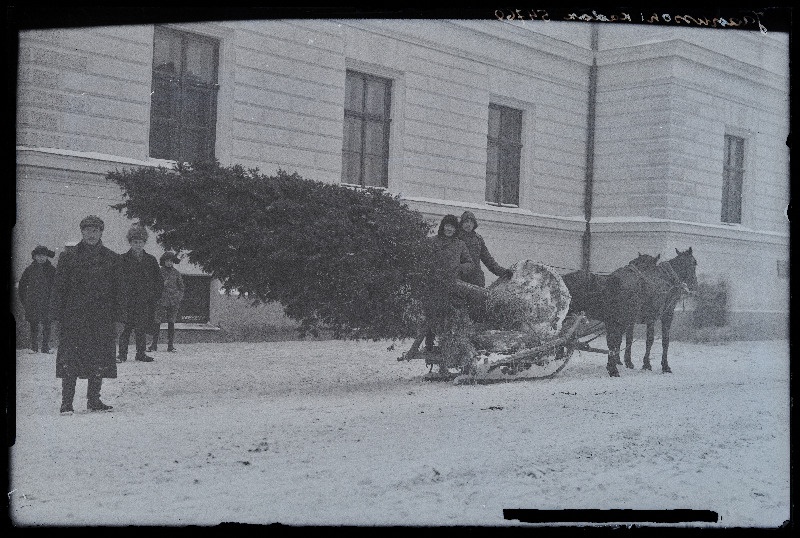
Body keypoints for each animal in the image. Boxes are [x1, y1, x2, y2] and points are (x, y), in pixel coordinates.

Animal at [604, 246, 696, 374]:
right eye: (694, 263)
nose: (695, 284)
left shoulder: (642, 319)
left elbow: (633, 338)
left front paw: (632, 362)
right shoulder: (665, 314)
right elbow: (660, 340)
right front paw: (659, 365)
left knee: (612, 338)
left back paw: (612, 364)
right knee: (614, 338)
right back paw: (613, 367)